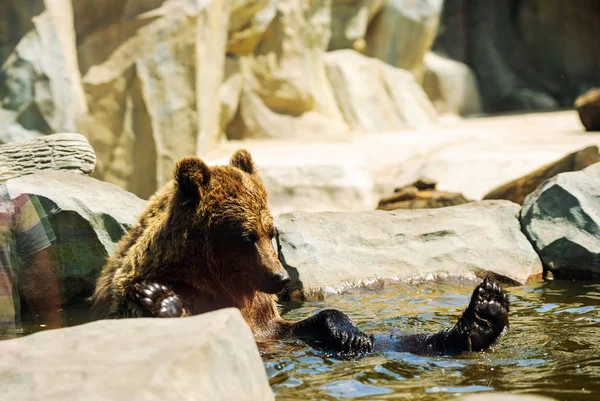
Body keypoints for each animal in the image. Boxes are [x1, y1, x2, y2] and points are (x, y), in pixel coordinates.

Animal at [91, 150, 508, 356]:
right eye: (245, 235)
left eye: (270, 230)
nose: (280, 277)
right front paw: (159, 299)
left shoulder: (264, 316)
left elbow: (310, 323)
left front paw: (346, 329)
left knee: (388, 340)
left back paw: (484, 313)